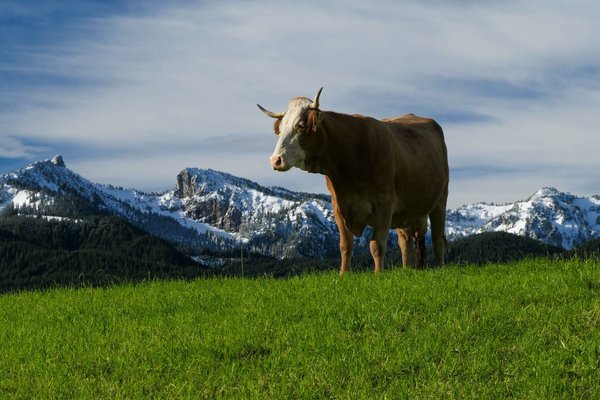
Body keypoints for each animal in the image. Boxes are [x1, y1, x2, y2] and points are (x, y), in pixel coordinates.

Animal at [255, 88, 448, 274]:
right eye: (280, 129)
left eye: (301, 125)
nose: (275, 160)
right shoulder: (339, 206)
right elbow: (345, 246)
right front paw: (343, 274)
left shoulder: (384, 205)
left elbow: (377, 246)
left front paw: (378, 274)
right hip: (406, 210)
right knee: (405, 241)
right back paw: (407, 269)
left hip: (440, 200)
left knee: (438, 238)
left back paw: (440, 267)